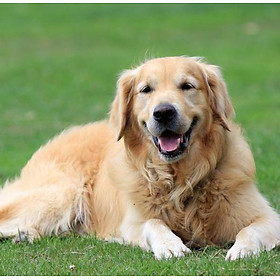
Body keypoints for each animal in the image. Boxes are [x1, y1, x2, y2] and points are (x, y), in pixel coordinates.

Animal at [0, 56, 280, 260]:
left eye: (187, 86)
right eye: (146, 90)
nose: (164, 112)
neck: (181, 178)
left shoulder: (269, 218)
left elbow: (250, 230)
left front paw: (242, 250)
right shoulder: (132, 223)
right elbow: (154, 223)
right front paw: (170, 245)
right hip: (62, 195)